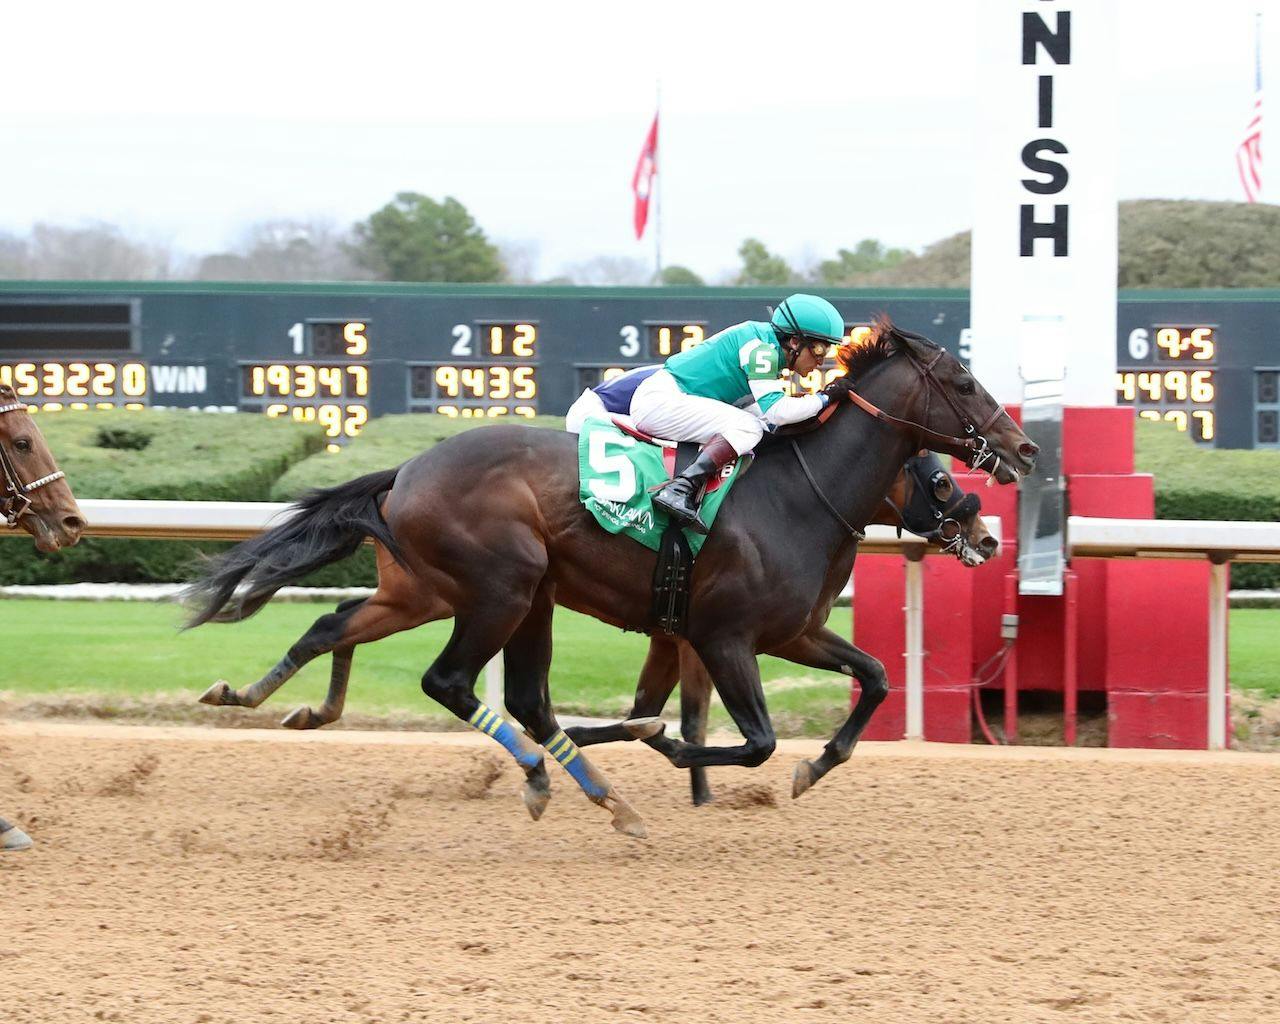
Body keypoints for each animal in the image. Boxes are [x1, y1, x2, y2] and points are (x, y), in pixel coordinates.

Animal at [570, 453, 998, 803]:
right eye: (942, 481)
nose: (987, 539)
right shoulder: (713, 638)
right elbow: (692, 723)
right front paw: (695, 782)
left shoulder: (785, 635)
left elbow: (875, 675)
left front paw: (816, 766)